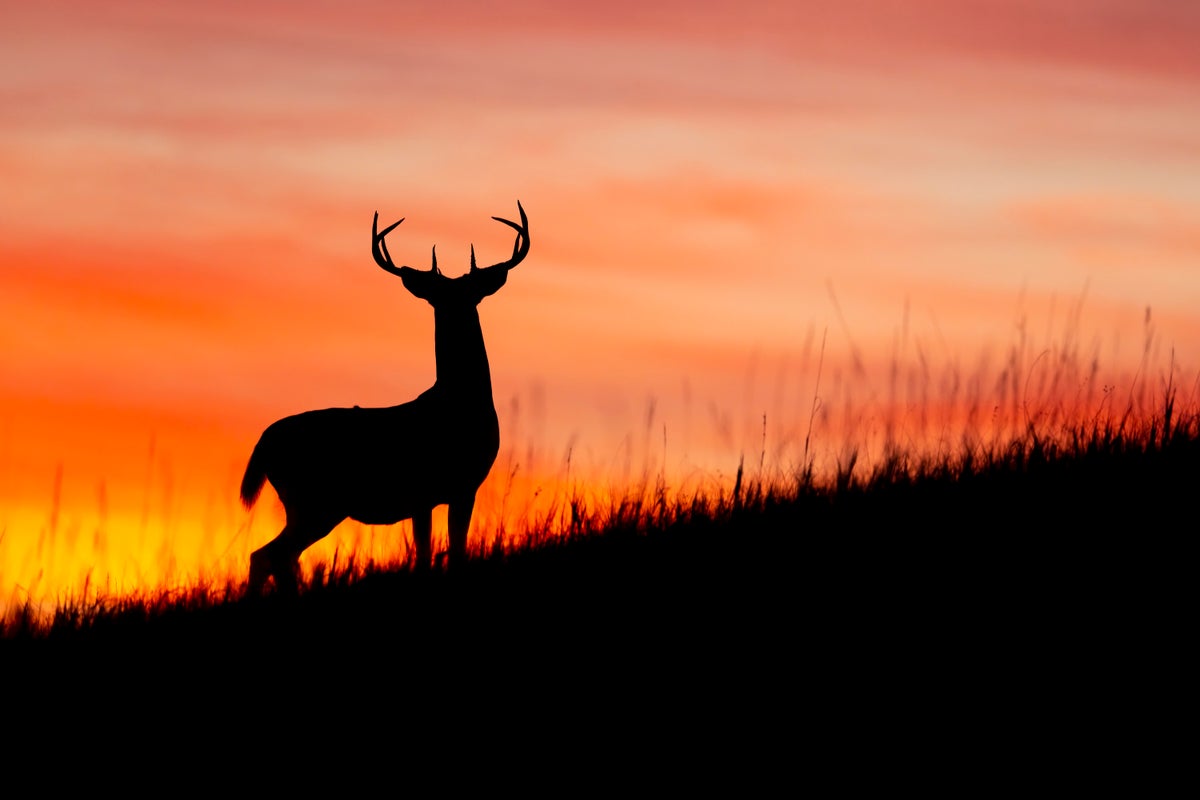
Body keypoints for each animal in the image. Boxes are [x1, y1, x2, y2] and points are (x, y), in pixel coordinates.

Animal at [239, 201, 529, 594]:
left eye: (471, 293)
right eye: (439, 296)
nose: (455, 308)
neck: (460, 404)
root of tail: (264, 442)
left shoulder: (452, 490)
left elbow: (445, 551)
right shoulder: (437, 489)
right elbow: (435, 554)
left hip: (308, 504)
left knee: (272, 556)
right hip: (315, 499)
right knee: (272, 555)